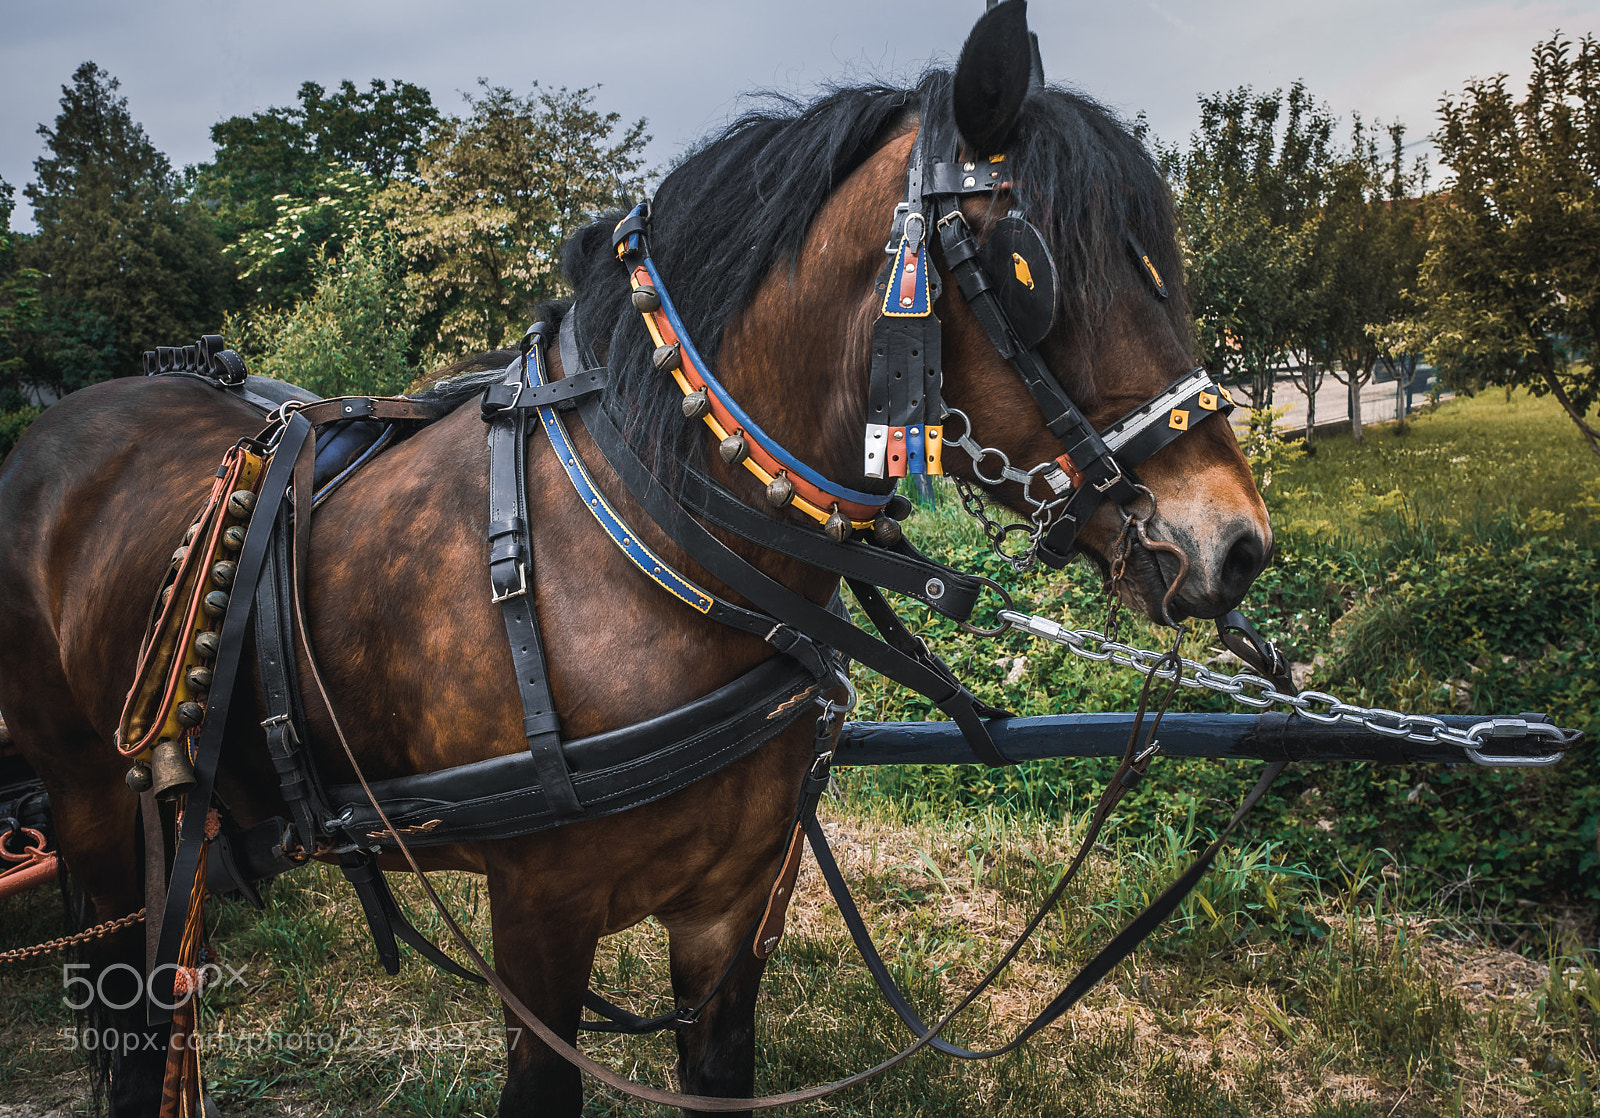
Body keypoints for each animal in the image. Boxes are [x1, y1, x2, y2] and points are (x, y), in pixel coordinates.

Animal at [0, 5, 1271, 1114]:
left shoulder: (735, 906)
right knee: (125, 1003)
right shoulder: (536, 918)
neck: (644, 544)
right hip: (87, 797)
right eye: (1031, 267)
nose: (1234, 541)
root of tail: (60, 424)